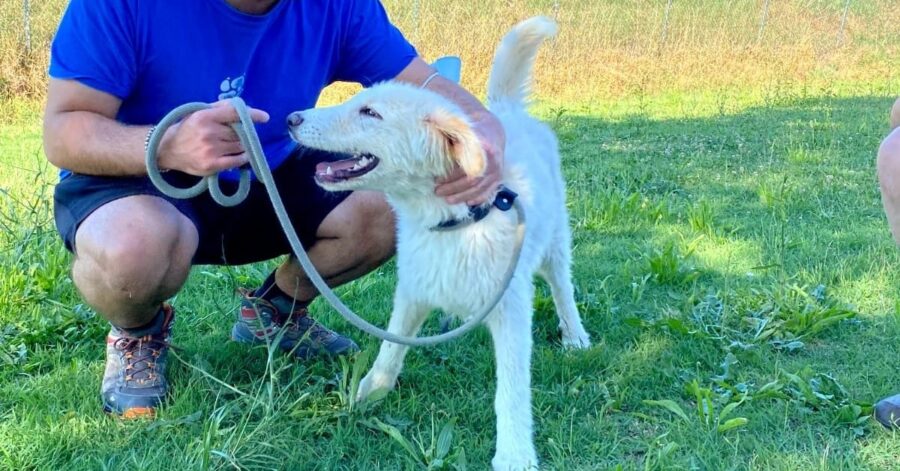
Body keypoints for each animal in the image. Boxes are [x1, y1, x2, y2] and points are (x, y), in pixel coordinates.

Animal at [284, 16, 588, 470]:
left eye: (369, 112)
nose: (290, 118)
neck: (453, 224)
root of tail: (507, 110)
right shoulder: (413, 290)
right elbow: (389, 349)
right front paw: (368, 394)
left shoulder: (512, 310)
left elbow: (512, 391)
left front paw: (515, 452)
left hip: (554, 243)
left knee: (562, 287)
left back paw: (575, 336)